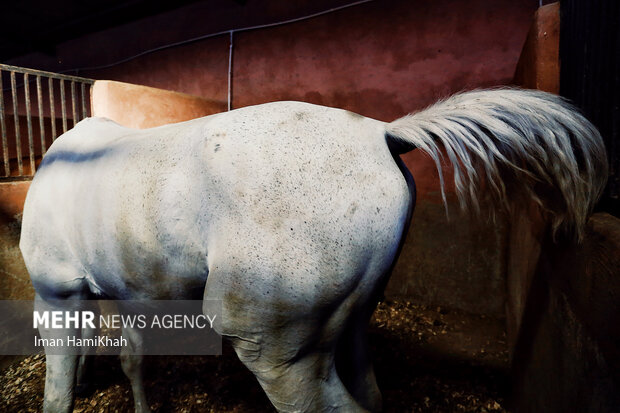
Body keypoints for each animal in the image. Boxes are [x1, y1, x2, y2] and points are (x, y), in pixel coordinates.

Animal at [19, 88, 604, 410]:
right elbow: (132, 360)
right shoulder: (126, 293)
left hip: (275, 347)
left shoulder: (58, 293)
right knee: (370, 393)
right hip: (350, 320)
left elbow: (58, 389)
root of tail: (382, 135)